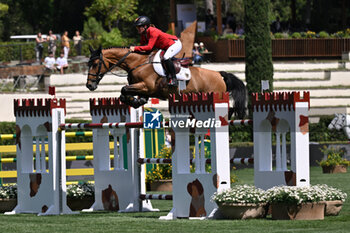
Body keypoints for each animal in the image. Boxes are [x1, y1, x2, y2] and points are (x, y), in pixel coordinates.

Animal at [87, 46, 246, 118]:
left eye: (95, 64)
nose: (90, 85)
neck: (137, 63)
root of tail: (219, 74)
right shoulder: (144, 90)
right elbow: (127, 93)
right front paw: (135, 102)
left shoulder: (145, 86)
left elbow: (124, 89)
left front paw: (132, 101)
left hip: (216, 95)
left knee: (229, 109)